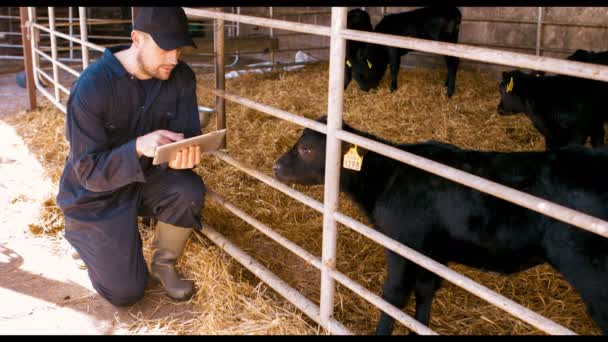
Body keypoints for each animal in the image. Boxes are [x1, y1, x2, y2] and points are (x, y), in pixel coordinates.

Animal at [274, 116, 608, 336]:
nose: (276, 166)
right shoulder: (431, 253)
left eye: (306, 149)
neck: (391, 175)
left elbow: (393, 297)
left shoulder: (403, 246)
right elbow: (425, 293)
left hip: (591, 274)